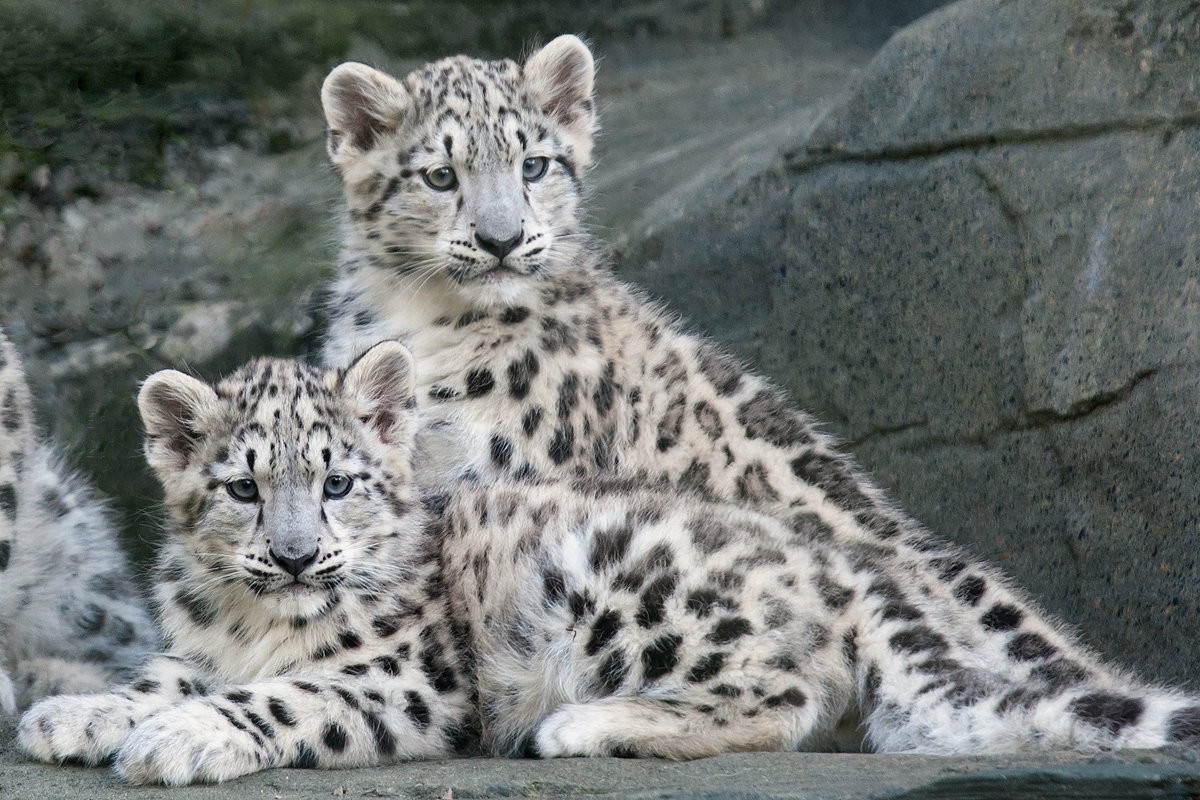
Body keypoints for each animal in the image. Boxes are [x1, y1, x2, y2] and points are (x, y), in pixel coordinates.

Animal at [16, 342, 1200, 784]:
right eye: (244, 486)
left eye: (339, 480)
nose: (300, 554)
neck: (256, 622)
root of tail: (841, 554)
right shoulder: (200, 643)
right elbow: (162, 674)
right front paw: (79, 711)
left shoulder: (408, 675)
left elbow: (287, 695)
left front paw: (183, 738)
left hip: (626, 584)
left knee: (791, 693)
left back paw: (582, 724)